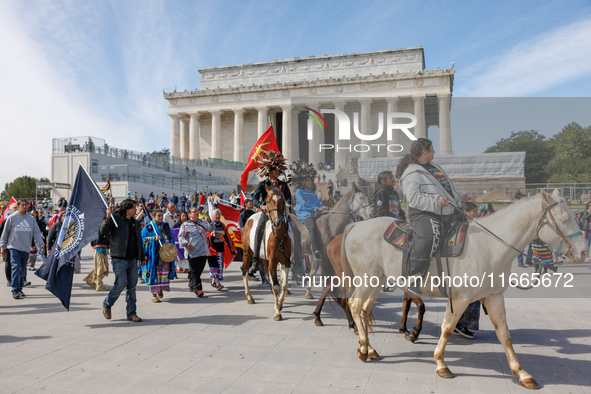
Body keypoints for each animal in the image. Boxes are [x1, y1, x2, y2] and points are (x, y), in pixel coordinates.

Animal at [242, 187, 292, 320]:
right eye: (268, 201)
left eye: (282, 201)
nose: (277, 222)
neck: (279, 236)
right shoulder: (273, 262)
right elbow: (276, 285)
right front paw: (277, 312)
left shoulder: (285, 261)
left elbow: (283, 285)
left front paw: (280, 303)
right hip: (247, 253)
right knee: (245, 271)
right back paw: (249, 296)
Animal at [340, 190, 588, 388]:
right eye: (564, 219)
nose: (584, 252)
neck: (490, 247)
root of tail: (356, 225)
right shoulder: (460, 299)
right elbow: (447, 329)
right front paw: (441, 364)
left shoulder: (494, 297)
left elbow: (504, 334)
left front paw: (522, 373)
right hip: (367, 279)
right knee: (354, 305)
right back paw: (364, 349)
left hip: (376, 281)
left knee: (363, 309)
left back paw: (368, 348)